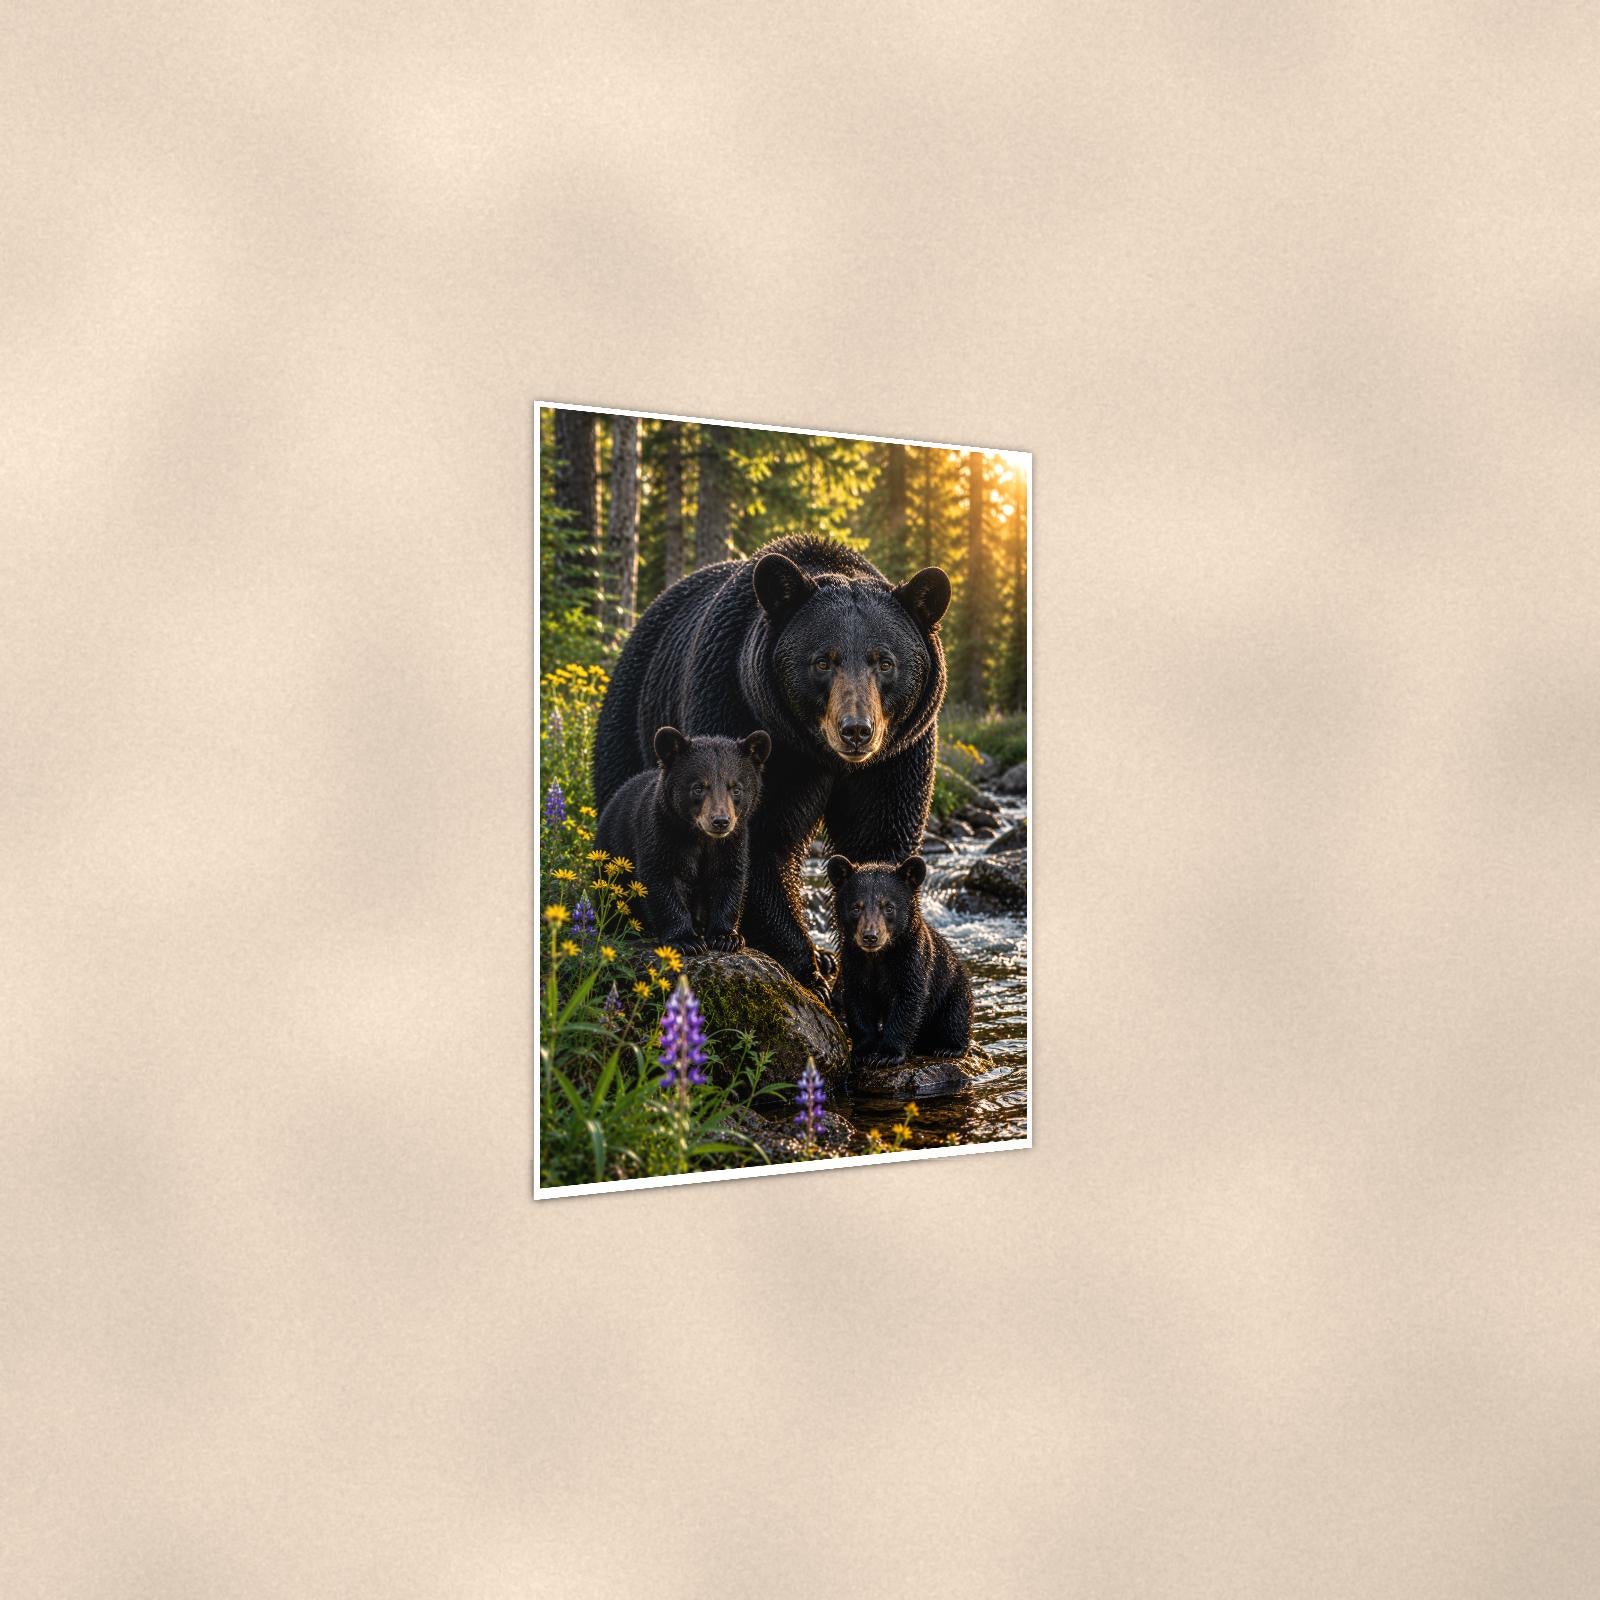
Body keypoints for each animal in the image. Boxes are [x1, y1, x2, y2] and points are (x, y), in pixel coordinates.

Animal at [595, 725, 771, 954]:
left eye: (736, 789)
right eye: (698, 787)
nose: (720, 821)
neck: (701, 838)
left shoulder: (733, 842)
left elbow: (728, 877)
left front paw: (726, 937)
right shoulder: (661, 833)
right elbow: (662, 878)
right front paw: (686, 940)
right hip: (612, 853)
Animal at [824, 854, 973, 1064]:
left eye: (889, 907)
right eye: (856, 907)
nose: (870, 936)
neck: (878, 956)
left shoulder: (912, 959)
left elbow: (907, 1000)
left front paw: (888, 1054)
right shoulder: (853, 961)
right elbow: (857, 1002)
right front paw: (863, 1051)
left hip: (952, 988)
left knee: (955, 1017)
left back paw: (949, 1048)